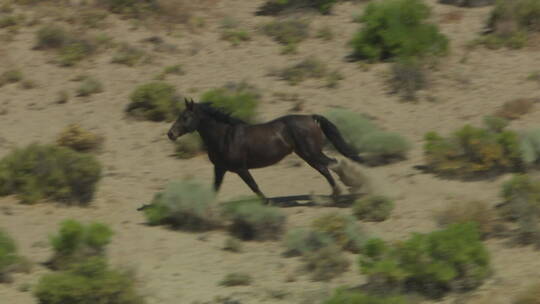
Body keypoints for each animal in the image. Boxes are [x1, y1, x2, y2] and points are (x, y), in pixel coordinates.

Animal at [168, 99, 362, 204]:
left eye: (185, 117)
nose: (170, 134)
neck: (224, 136)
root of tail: (311, 118)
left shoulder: (241, 169)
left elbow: (254, 186)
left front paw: (267, 202)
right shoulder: (219, 169)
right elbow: (215, 188)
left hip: (311, 153)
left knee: (333, 163)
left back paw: (349, 187)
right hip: (307, 155)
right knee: (325, 169)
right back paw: (336, 194)